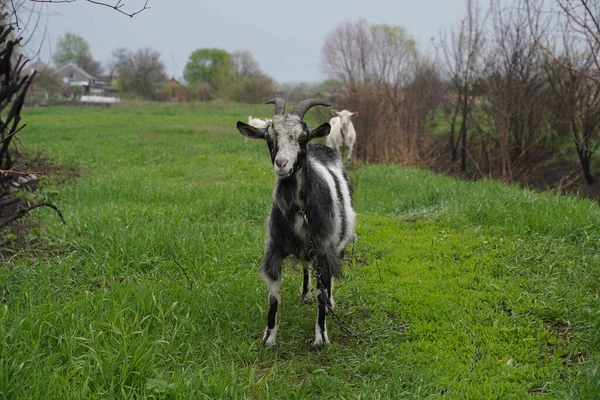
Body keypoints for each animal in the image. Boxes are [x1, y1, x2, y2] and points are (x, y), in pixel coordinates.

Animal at [236, 98, 356, 346]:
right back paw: (304, 293)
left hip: (336, 245)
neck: (300, 210)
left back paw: (331, 304)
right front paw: (269, 338)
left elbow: (322, 293)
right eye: (269, 137)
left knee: (329, 280)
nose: (282, 164)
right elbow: (273, 298)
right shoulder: (274, 250)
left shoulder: (323, 250)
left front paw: (321, 337)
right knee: (305, 267)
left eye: (302, 137)